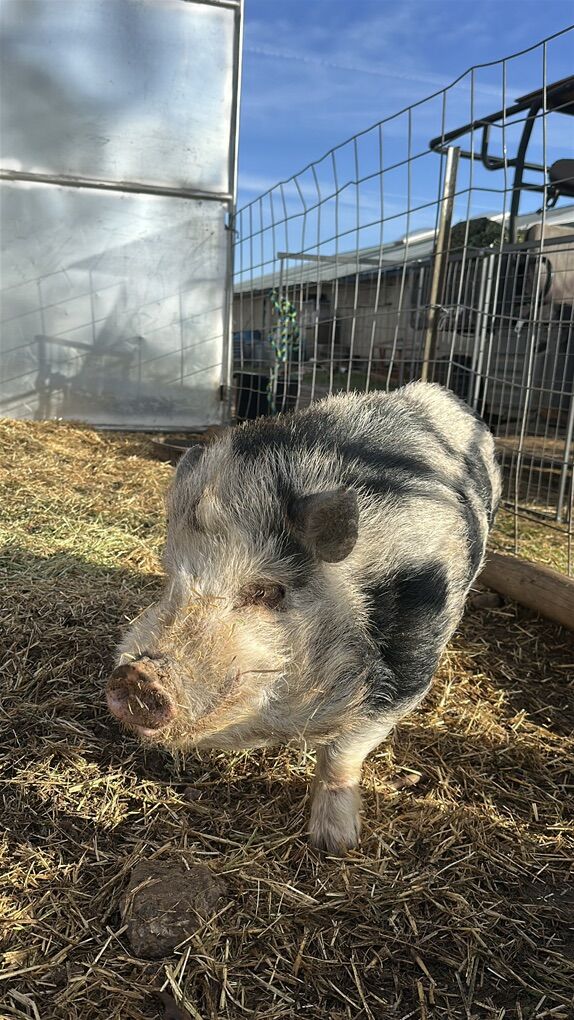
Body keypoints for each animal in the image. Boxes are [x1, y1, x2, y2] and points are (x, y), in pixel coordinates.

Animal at [106, 381, 501, 852]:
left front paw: (335, 844)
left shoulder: (406, 674)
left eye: (264, 591)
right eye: (170, 575)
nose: (136, 676)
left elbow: (343, 755)